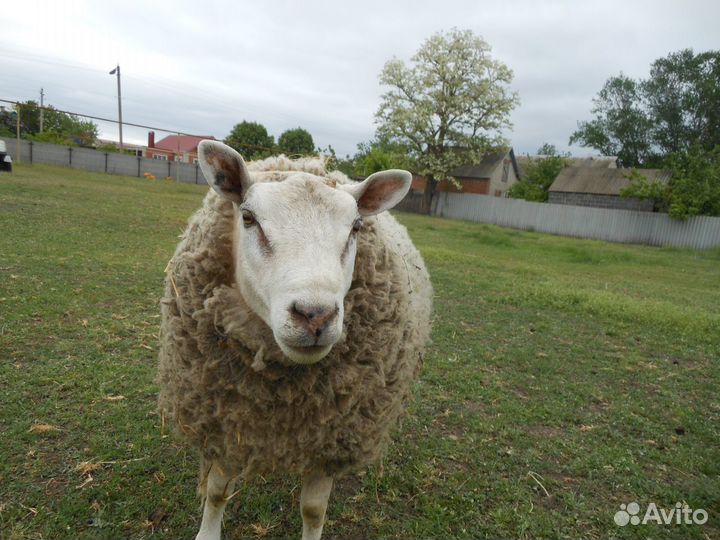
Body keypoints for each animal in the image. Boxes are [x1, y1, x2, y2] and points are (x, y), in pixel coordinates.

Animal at [158, 140, 434, 540]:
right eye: (248, 218)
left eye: (356, 227)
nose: (315, 316)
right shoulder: (224, 418)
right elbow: (217, 492)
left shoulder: (330, 438)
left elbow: (313, 510)